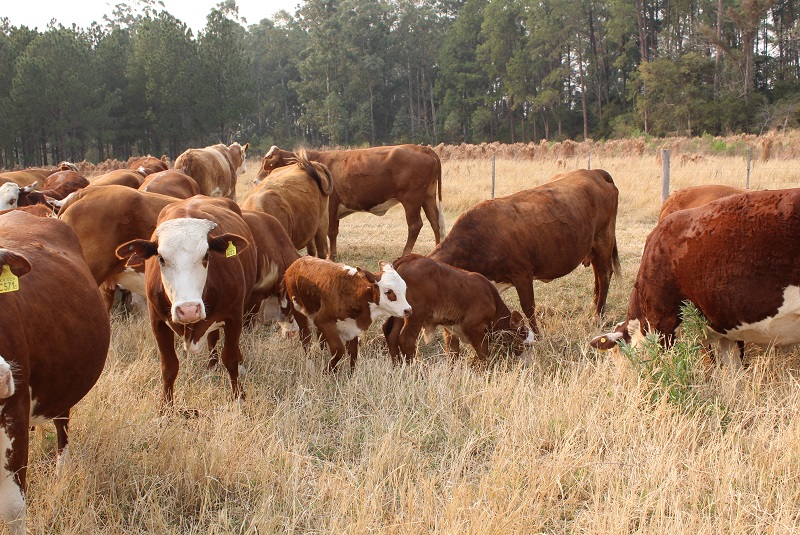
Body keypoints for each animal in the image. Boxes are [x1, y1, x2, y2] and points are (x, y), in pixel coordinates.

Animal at [116, 196, 259, 407]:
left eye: (206, 255)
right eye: (160, 258)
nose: (189, 310)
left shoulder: (234, 317)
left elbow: (230, 358)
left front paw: (239, 398)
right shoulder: (157, 322)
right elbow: (169, 367)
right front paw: (165, 408)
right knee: (213, 339)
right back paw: (211, 367)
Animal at [256, 144, 445, 260]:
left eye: (268, 163)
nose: (255, 180)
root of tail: (422, 148)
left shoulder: (331, 205)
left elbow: (331, 232)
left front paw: (331, 255)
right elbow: (333, 232)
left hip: (412, 199)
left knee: (415, 225)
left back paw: (405, 254)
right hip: (428, 196)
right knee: (435, 222)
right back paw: (437, 249)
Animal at [284, 256, 412, 372]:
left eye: (405, 288)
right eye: (388, 291)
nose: (408, 310)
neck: (354, 294)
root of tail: (297, 262)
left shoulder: (352, 327)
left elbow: (353, 352)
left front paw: (350, 375)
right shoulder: (323, 321)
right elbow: (338, 350)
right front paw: (328, 371)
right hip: (298, 311)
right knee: (305, 338)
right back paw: (310, 365)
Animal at [382, 254, 535, 366]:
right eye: (524, 344)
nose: (528, 365)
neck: (492, 300)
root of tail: (409, 258)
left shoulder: (451, 329)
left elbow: (453, 353)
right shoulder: (474, 327)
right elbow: (483, 354)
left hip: (401, 312)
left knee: (391, 334)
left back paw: (397, 366)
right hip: (416, 314)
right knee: (406, 340)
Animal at [429, 169, 621, 333]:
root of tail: (594, 172)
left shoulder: (522, 274)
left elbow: (528, 307)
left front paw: (537, 336)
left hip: (603, 239)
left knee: (604, 274)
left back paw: (598, 315)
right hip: (592, 246)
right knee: (597, 273)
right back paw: (594, 304)